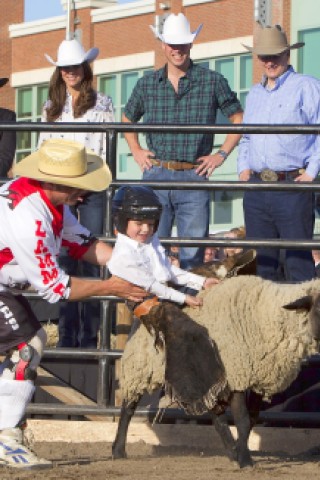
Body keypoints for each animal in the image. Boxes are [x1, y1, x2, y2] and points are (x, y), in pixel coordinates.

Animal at [114, 274, 320, 468]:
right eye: (319, 308)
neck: (265, 315)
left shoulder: (257, 378)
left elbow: (252, 419)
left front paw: (239, 452)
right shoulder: (236, 375)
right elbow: (243, 420)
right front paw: (245, 460)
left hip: (206, 377)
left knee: (217, 417)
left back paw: (230, 451)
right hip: (140, 369)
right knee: (128, 407)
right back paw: (118, 450)